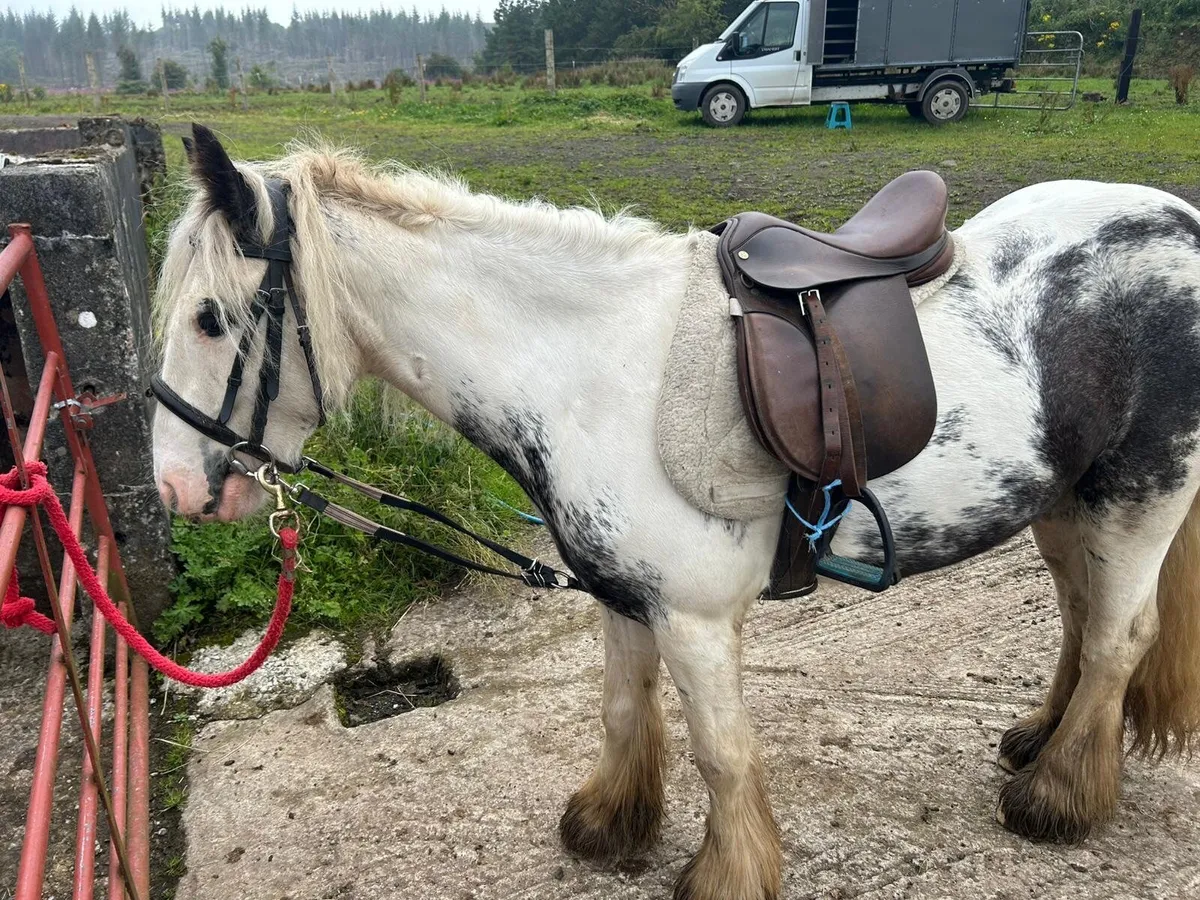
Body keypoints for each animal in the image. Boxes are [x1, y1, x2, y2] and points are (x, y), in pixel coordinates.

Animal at [151, 124, 1200, 900]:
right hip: (1062, 501)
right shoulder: (624, 599)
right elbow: (623, 709)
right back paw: (1040, 742)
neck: (587, 367)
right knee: (1079, 616)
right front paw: (609, 823)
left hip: (1138, 500)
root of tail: (1178, 219)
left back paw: (1058, 798)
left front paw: (724, 875)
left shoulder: (694, 618)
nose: (171, 489)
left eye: (208, 317)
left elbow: (722, 755)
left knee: (1120, 634)